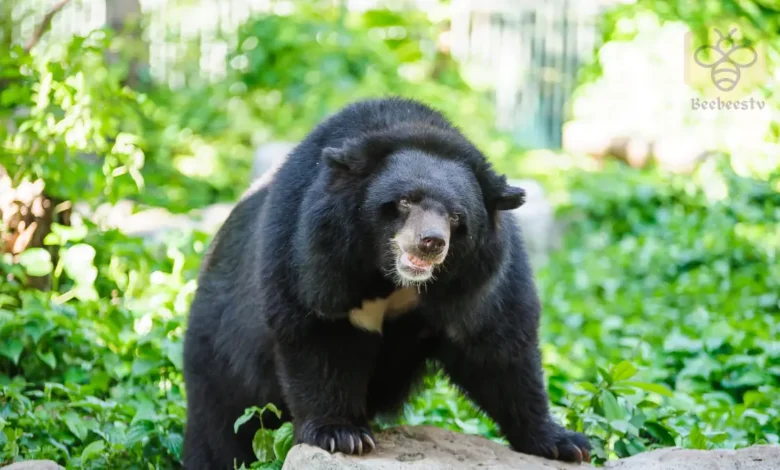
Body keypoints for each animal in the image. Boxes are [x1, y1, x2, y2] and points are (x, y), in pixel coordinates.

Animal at [180, 97, 588, 468]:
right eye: (406, 201)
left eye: (456, 216)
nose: (431, 242)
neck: (393, 279)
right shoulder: (312, 256)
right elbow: (319, 335)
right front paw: (341, 434)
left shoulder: (481, 281)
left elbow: (497, 347)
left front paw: (565, 442)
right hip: (219, 356)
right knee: (221, 431)